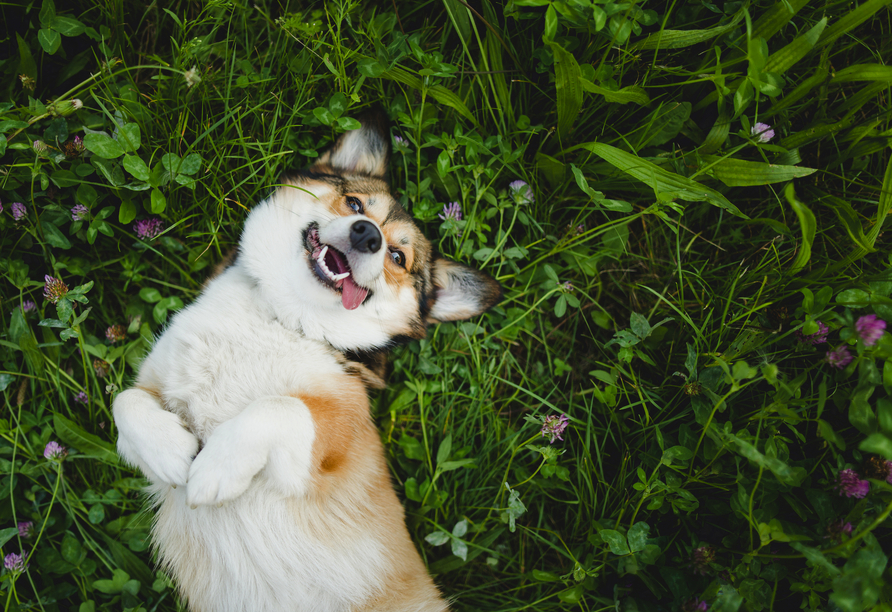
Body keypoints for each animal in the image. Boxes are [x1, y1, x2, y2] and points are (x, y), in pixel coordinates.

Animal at [111, 111, 498, 612]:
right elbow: (125, 402)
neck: (281, 316)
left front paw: (215, 469)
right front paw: (171, 453)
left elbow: (279, 407)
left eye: (398, 257)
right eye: (354, 203)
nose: (367, 235)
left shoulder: (333, 442)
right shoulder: (152, 384)